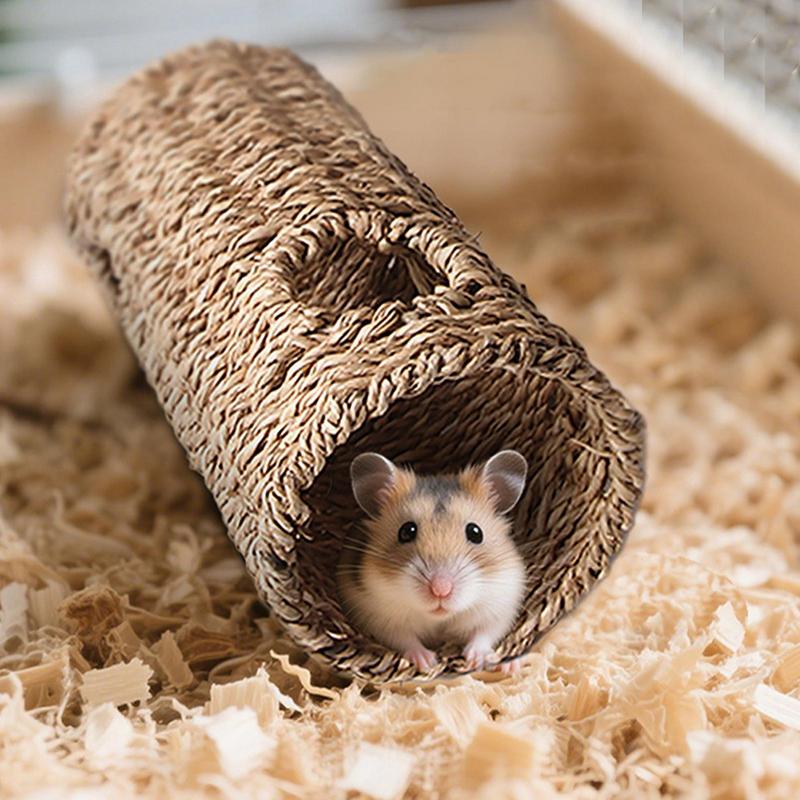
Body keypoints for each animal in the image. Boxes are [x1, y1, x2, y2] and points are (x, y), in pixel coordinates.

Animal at [337, 450, 528, 674]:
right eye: (406, 531)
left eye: (475, 532)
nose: (440, 590)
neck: (440, 618)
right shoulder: (376, 614)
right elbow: (404, 639)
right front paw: (428, 662)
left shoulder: (501, 604)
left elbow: (484, 633)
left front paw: (477, 660)